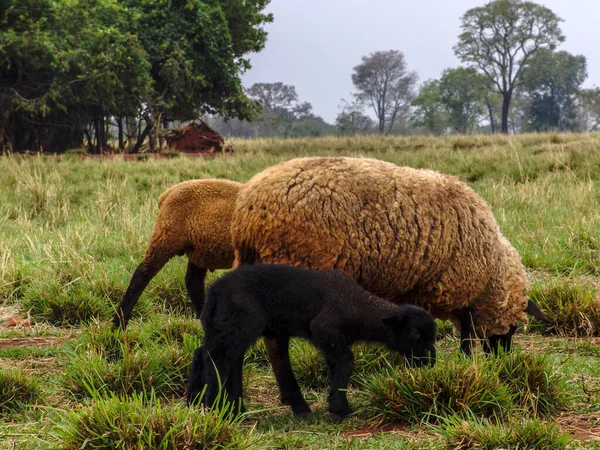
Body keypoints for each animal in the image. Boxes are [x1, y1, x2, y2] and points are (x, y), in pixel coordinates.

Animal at [113, 178, 240, 328]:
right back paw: (119, 323)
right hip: (166, 237)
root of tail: (167, 194)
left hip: (199, 250)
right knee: (142, 275)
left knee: (193, 281)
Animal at [185, 264, 434, 422]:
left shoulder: (332, 340)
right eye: (414, 333)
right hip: (239, 322)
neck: (358, 306)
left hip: (222, 324)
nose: (430, 363)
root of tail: (215, 290)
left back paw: (203, 402)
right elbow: (347, 360)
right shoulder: (324, 328)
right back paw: (214, 406)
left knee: (207, 354)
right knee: (217, 359)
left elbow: (337, 366)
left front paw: (339, 404)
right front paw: (338, 409)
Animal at [231, 156, 548, 356]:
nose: (501, 360)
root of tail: (248, 209)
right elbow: (467, 332)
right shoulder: (463, 285)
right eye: (513, 328)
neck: (492, 264)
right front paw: (465, 359)